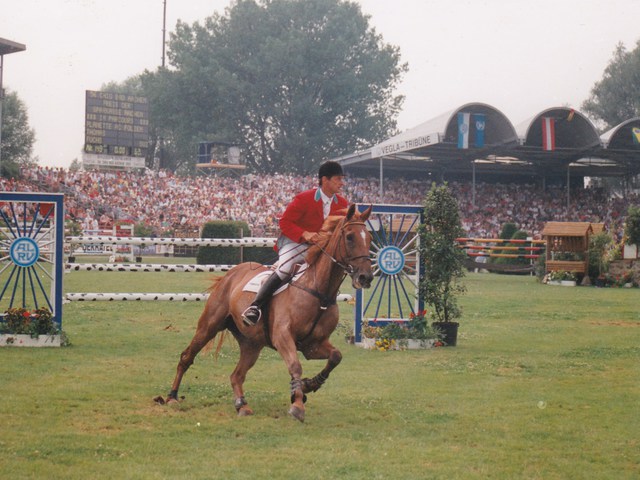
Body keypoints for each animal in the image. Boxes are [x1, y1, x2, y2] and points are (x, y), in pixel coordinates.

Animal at [157, 204, 372, 422]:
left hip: (251, 344)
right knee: (187, 357)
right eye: (350, 237)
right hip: (209, 326)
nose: (366, 277)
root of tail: (231, 273)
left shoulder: (313, 345)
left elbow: (336, 356)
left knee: (237, 375)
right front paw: (298, 404)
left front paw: (308, 385)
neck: (319, 292)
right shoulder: (283, 337)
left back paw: (241, 404)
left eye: (370, 238)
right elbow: (295, 366)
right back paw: (172, 396)